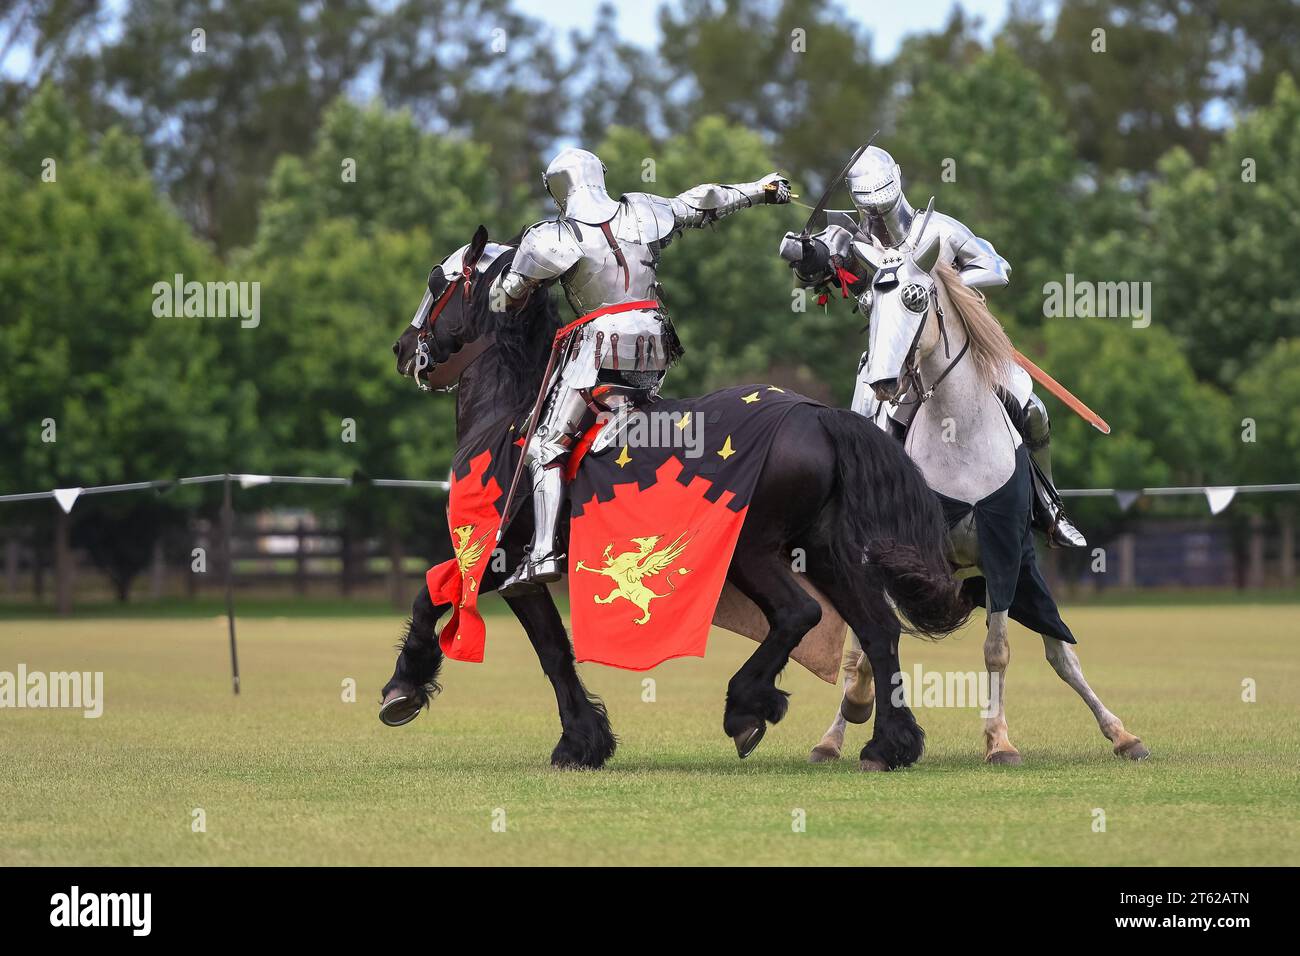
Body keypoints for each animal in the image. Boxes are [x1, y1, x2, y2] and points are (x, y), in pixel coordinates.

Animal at [377, 227, 967, 775]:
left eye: (436, 281)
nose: (404, 348)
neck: (508, 416)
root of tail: (816, 415)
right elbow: (477, 608)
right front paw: (586, 738)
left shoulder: (501, 560)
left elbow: (519, 633)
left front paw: (407, 689)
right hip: (821, 549)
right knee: (878, 628)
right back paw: (888, 744)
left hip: (752, 549)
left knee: (799, 613)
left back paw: (746, 707)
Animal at [811, 227, 1149, 764]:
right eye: (870, 307)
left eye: (915, 298)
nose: (883, 382)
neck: (960, 435)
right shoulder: (897, 556)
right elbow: (870, 645)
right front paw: (863, 712)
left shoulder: (1004, 554)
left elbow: (999, 650)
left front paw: (1000, 741)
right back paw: (833, 734)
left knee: (1061, 652)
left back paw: (1121, 733)